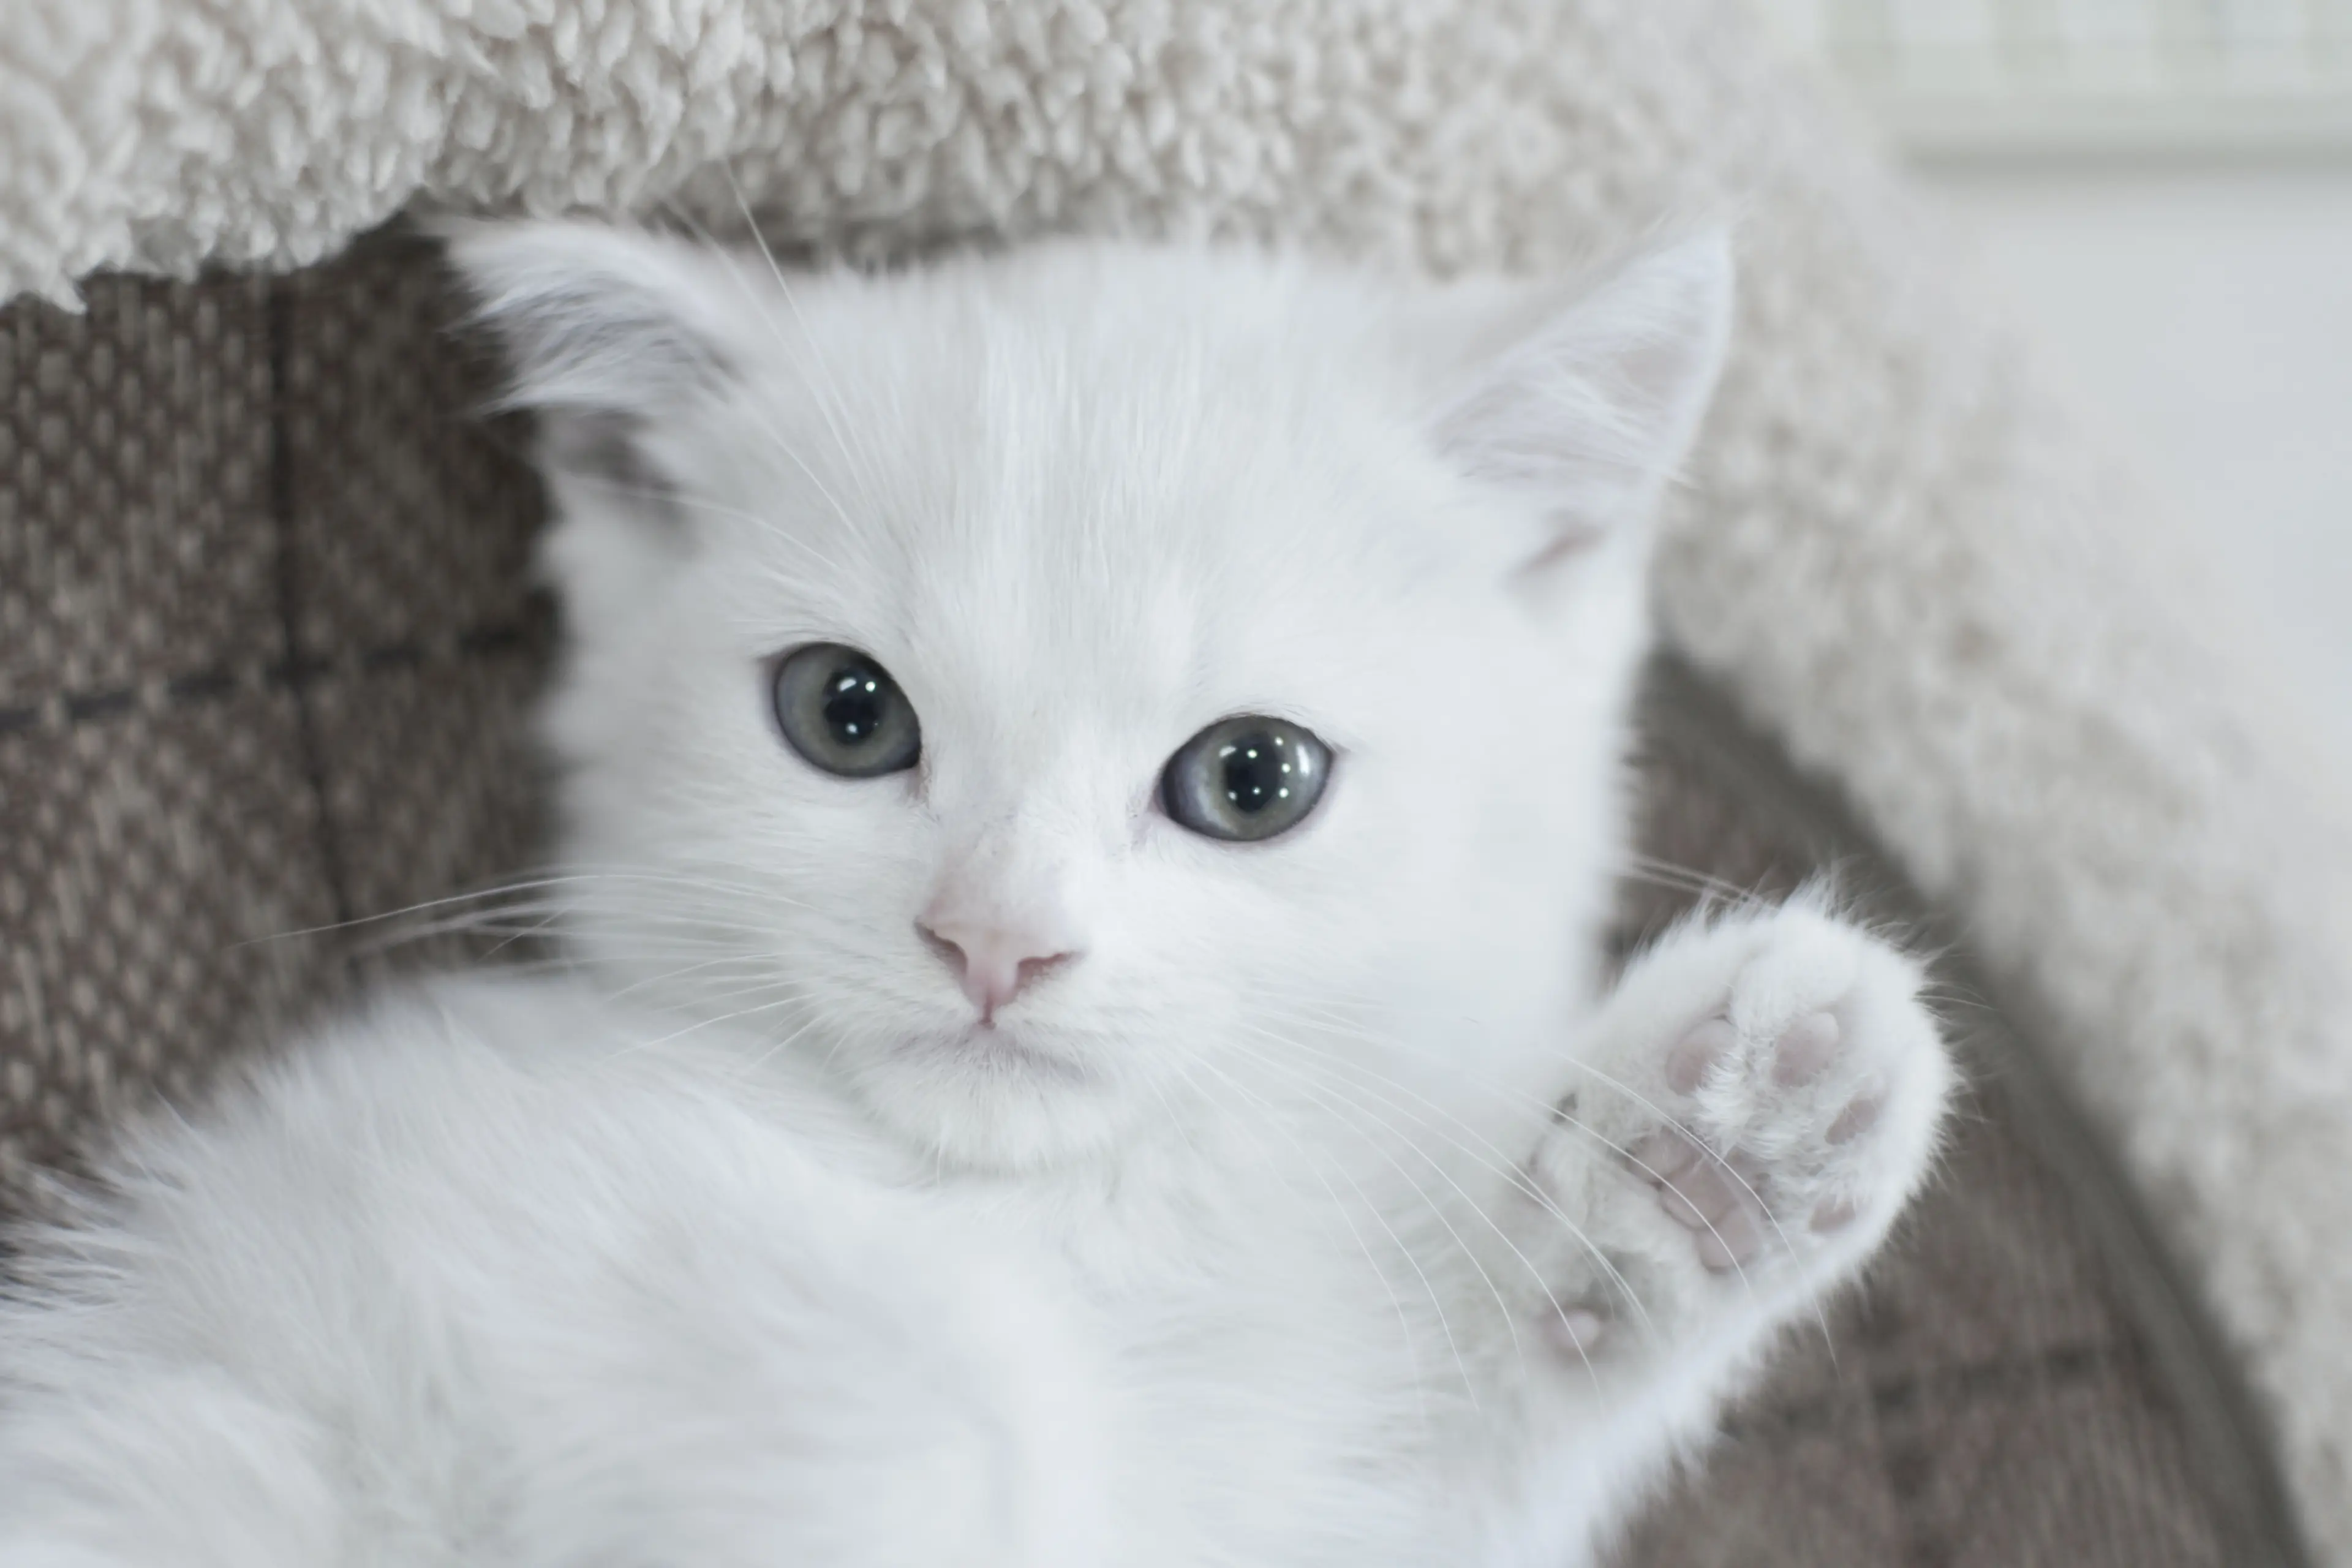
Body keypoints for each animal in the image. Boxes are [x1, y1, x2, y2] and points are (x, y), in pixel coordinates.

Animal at [0, 223, 1947, 1568]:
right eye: (845, 713)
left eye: (1253, 778)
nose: (995, 938)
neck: (1065, 1222)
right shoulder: (412, 1198)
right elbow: (907, 1402)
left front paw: (1719, 1142)